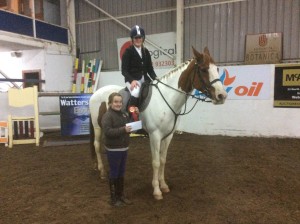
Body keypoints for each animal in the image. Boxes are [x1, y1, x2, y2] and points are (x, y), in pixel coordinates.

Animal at [89, 46, 227, 200]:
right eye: (203, 69)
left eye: (217, 69)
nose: (222, 96)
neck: (166, 99)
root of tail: (95, 93)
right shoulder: (155, 136)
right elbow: (155, 162)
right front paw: (156, 190)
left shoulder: (168, 136)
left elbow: (162, 160)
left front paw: (164, 185)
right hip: (98, 127)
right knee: (96, 145)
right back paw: (101, 171)